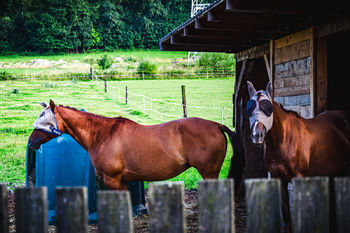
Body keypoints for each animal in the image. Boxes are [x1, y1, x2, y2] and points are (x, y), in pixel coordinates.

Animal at [28, 100, 243, 193]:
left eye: (44, 119)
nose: (31, 141)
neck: (102, 134)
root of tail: (216, 125)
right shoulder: (122, 181)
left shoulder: (112, 180)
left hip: (209, 172)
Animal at [245, 81, 350, 232]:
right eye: (249, 108)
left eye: (268, 108)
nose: (256, 135)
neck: (283, 140)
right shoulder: (280, 179)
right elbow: (286, 214)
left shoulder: (299, 177)